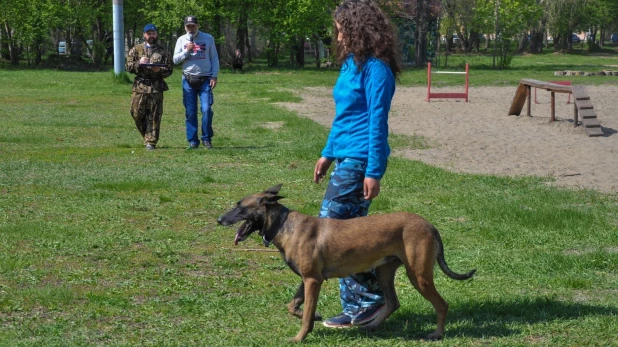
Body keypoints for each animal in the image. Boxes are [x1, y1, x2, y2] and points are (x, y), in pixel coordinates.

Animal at [214, 185, 474, 342]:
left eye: (240, 207)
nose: (219, 219)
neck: (284, 225)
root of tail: (429, 225)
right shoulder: (307, 279)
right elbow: (294, 306)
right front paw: (314, 318)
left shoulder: (313, 281)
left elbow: (305, 314)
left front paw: (300, 336)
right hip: (385, 272)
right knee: (392, 303)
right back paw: (371, 326)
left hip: (418, 276)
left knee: (441, 305)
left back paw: (437, 334)